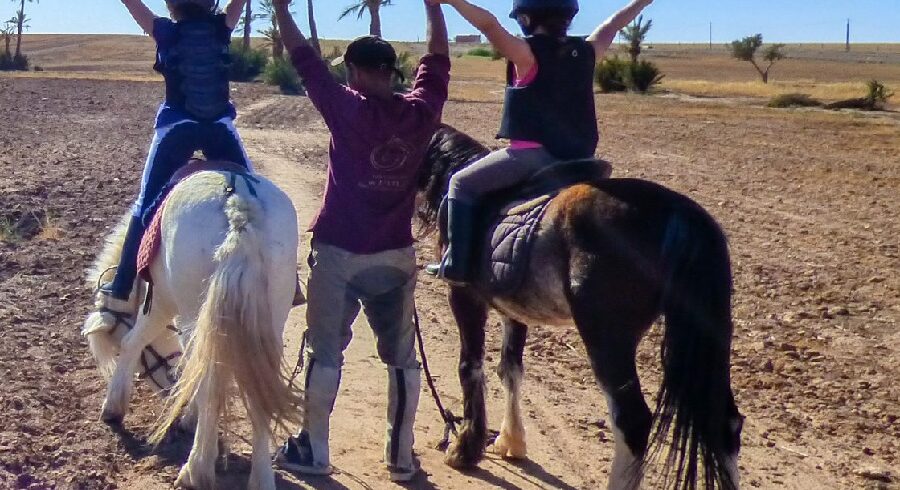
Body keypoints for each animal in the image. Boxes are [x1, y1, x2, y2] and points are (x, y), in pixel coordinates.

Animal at [81, 168, 298, 490]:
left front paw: (114, 407)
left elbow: (136, 343)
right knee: (257, 390)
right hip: (266, 323)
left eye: (115, 346)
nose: (168, 384)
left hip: (191, 312)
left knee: (209, 375)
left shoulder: (159, 303)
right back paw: (260, 478)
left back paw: (195, 470)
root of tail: (241, 208)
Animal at [418, 126, 740, 490]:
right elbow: (510, 369)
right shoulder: (514, 310)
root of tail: (680, 212)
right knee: (724, 425)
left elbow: (470, 367)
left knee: (633, 423)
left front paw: (465, 448)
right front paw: (510, 442)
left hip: (607, 340)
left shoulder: (464, 297)